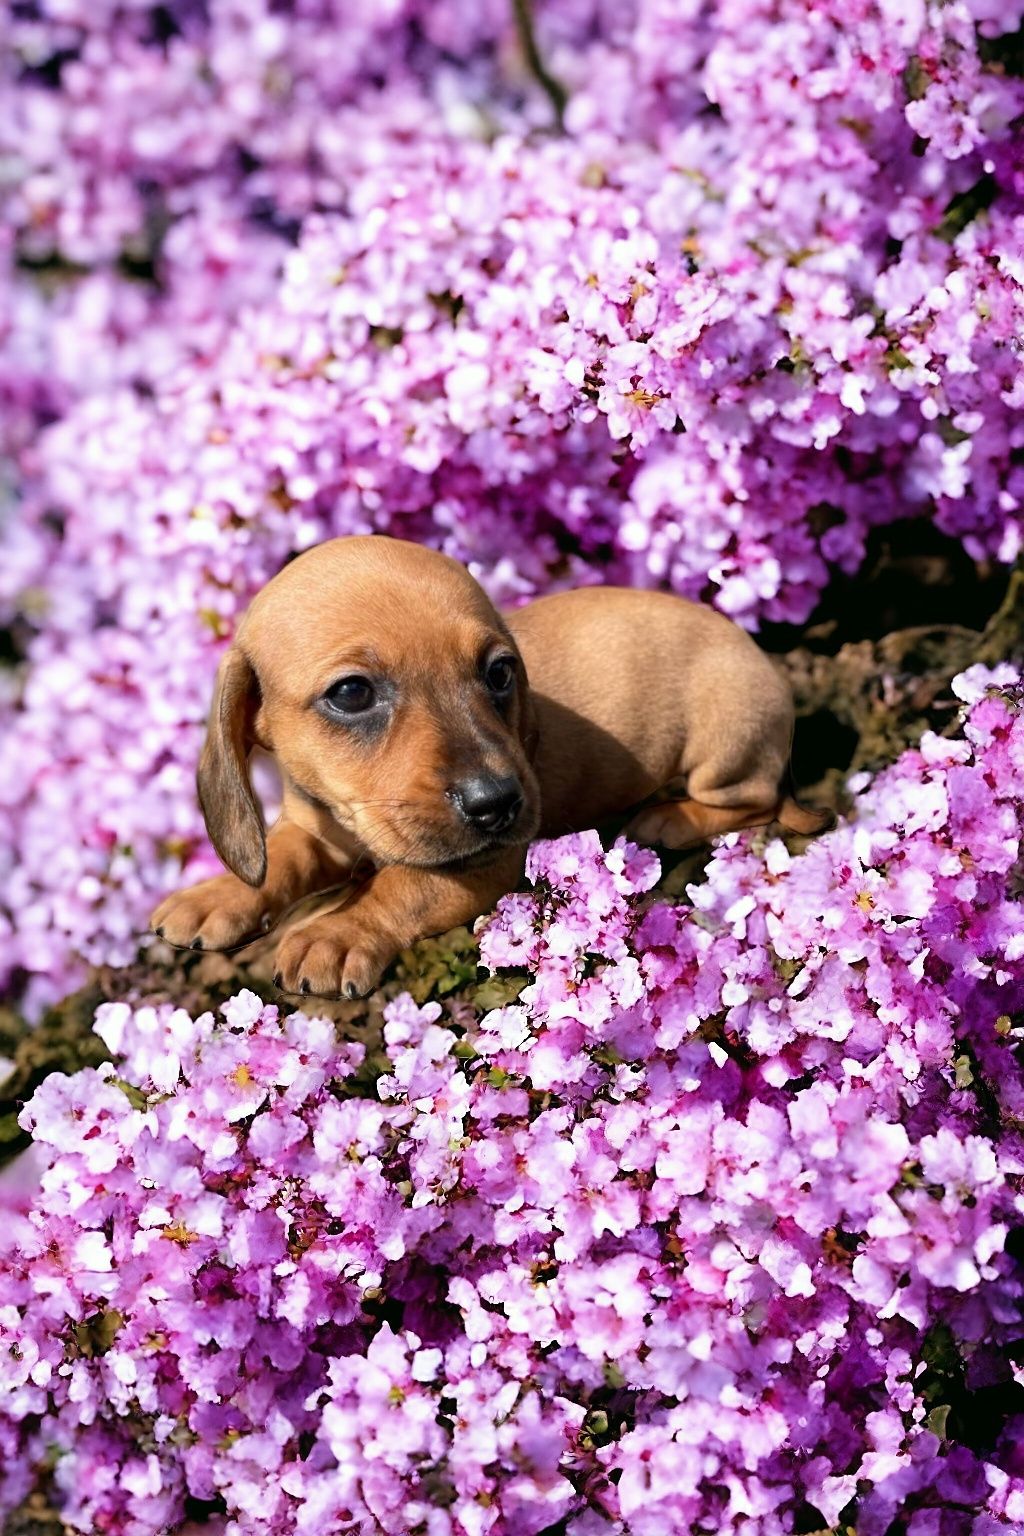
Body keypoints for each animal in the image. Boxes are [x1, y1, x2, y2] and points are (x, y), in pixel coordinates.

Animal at [148, 537, 829, 995]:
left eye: (499, 672)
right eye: (352, 693)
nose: (497, 804)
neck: (354, 824)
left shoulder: (487, 863)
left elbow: (402, 885)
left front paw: (337, 932)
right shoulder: (320, 830)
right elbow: (281, 858)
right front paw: (219, 894)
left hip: (723, 743)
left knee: (756, 800)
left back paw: (670, 817)